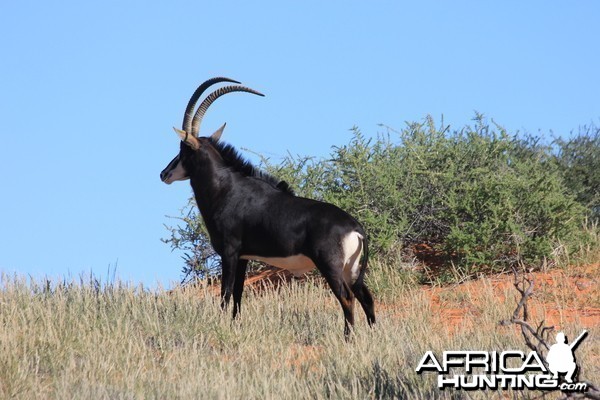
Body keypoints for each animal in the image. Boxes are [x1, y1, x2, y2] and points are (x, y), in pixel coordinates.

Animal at [159, 76, 376, 336]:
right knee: (366, 297)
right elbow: (239, 294)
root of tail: (356, 228)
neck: (227, 189)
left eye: (183, 150)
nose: (164, 174)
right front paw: (235, 327)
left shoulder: (230, 252)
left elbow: (225, 294)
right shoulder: (244, 257)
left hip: (331, 266)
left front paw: (219, 326)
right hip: (350, 270)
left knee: (347, 298)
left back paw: (348, 338)